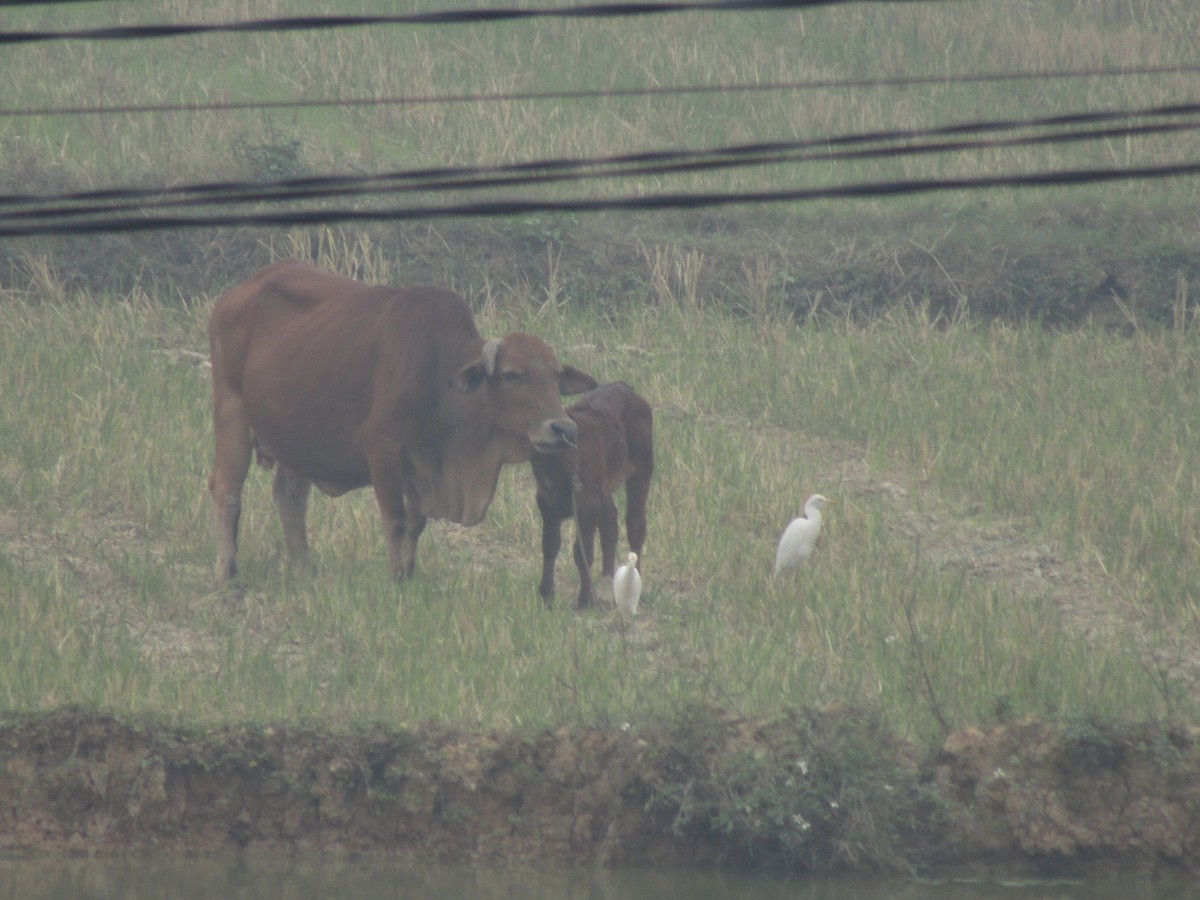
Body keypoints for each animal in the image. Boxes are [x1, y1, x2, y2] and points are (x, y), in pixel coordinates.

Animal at [207, 259, 596, 585]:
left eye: (556, 376)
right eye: (512, 374)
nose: (563, 429)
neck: (439, 373)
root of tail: (234, 295)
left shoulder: (418, 469)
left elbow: (415, 524)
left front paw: (407, 576)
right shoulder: (383, 449)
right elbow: (395, 521)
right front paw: (395, 580)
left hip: (297, 438)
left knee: (289, 497)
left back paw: (304, 569)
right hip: (231, 414)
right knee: (226, 490)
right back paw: (227, 573)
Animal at [530, 382, 653, 609]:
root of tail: (626, 387)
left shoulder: (586, 499)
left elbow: (582, 551)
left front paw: (584, 600)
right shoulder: (545, 498)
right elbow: (550, 545)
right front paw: (546, 595)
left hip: (642, 465)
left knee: (635, 523)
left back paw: (633, 583)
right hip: (603, 484)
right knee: (610, 522)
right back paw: (607, 588)